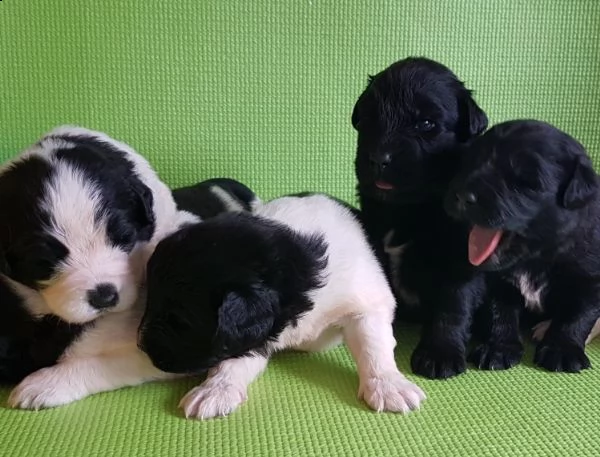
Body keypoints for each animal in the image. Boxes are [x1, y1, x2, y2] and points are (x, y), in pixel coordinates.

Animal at [138, 193, 424, 420]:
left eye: (180, 321)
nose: (142, 348)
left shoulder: (366, 300)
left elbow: (372, 343)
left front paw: (388, 385)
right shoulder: (251, 331)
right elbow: (234, 358)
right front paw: (216, 389)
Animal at [354, 57, 490, 378]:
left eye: (426, 124)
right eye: (369, 119)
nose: (379, 159)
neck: (408, 208)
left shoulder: (460, 257)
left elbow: (454, 303)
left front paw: (440, 354)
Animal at [446, 119, 600, 372]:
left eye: (525, 182)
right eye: (472, 163)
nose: (461, 194)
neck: (535, 257)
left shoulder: (589, 279)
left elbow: (577, 316)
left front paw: (562, 350)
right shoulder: (496, 282)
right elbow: (501, 314)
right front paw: (498, 348)